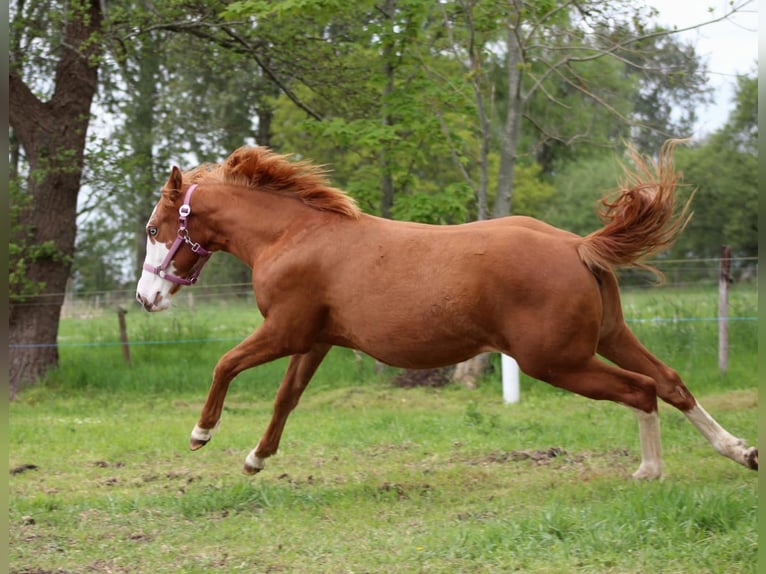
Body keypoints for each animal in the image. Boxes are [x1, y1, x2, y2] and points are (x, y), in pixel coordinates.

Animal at [136, 141, 757, 479]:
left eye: (153, 228)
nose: (146, 298)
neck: (293, 236)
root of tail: (577, 246)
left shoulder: (285, 330)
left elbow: (225, 364)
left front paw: (201, 433)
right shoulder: (316, 340)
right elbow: (286, 398)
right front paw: (256, 459)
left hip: (557, 361)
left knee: (641, 390)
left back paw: (650, 470)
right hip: (608, 337)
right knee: (670, 383)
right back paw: (740, 451)